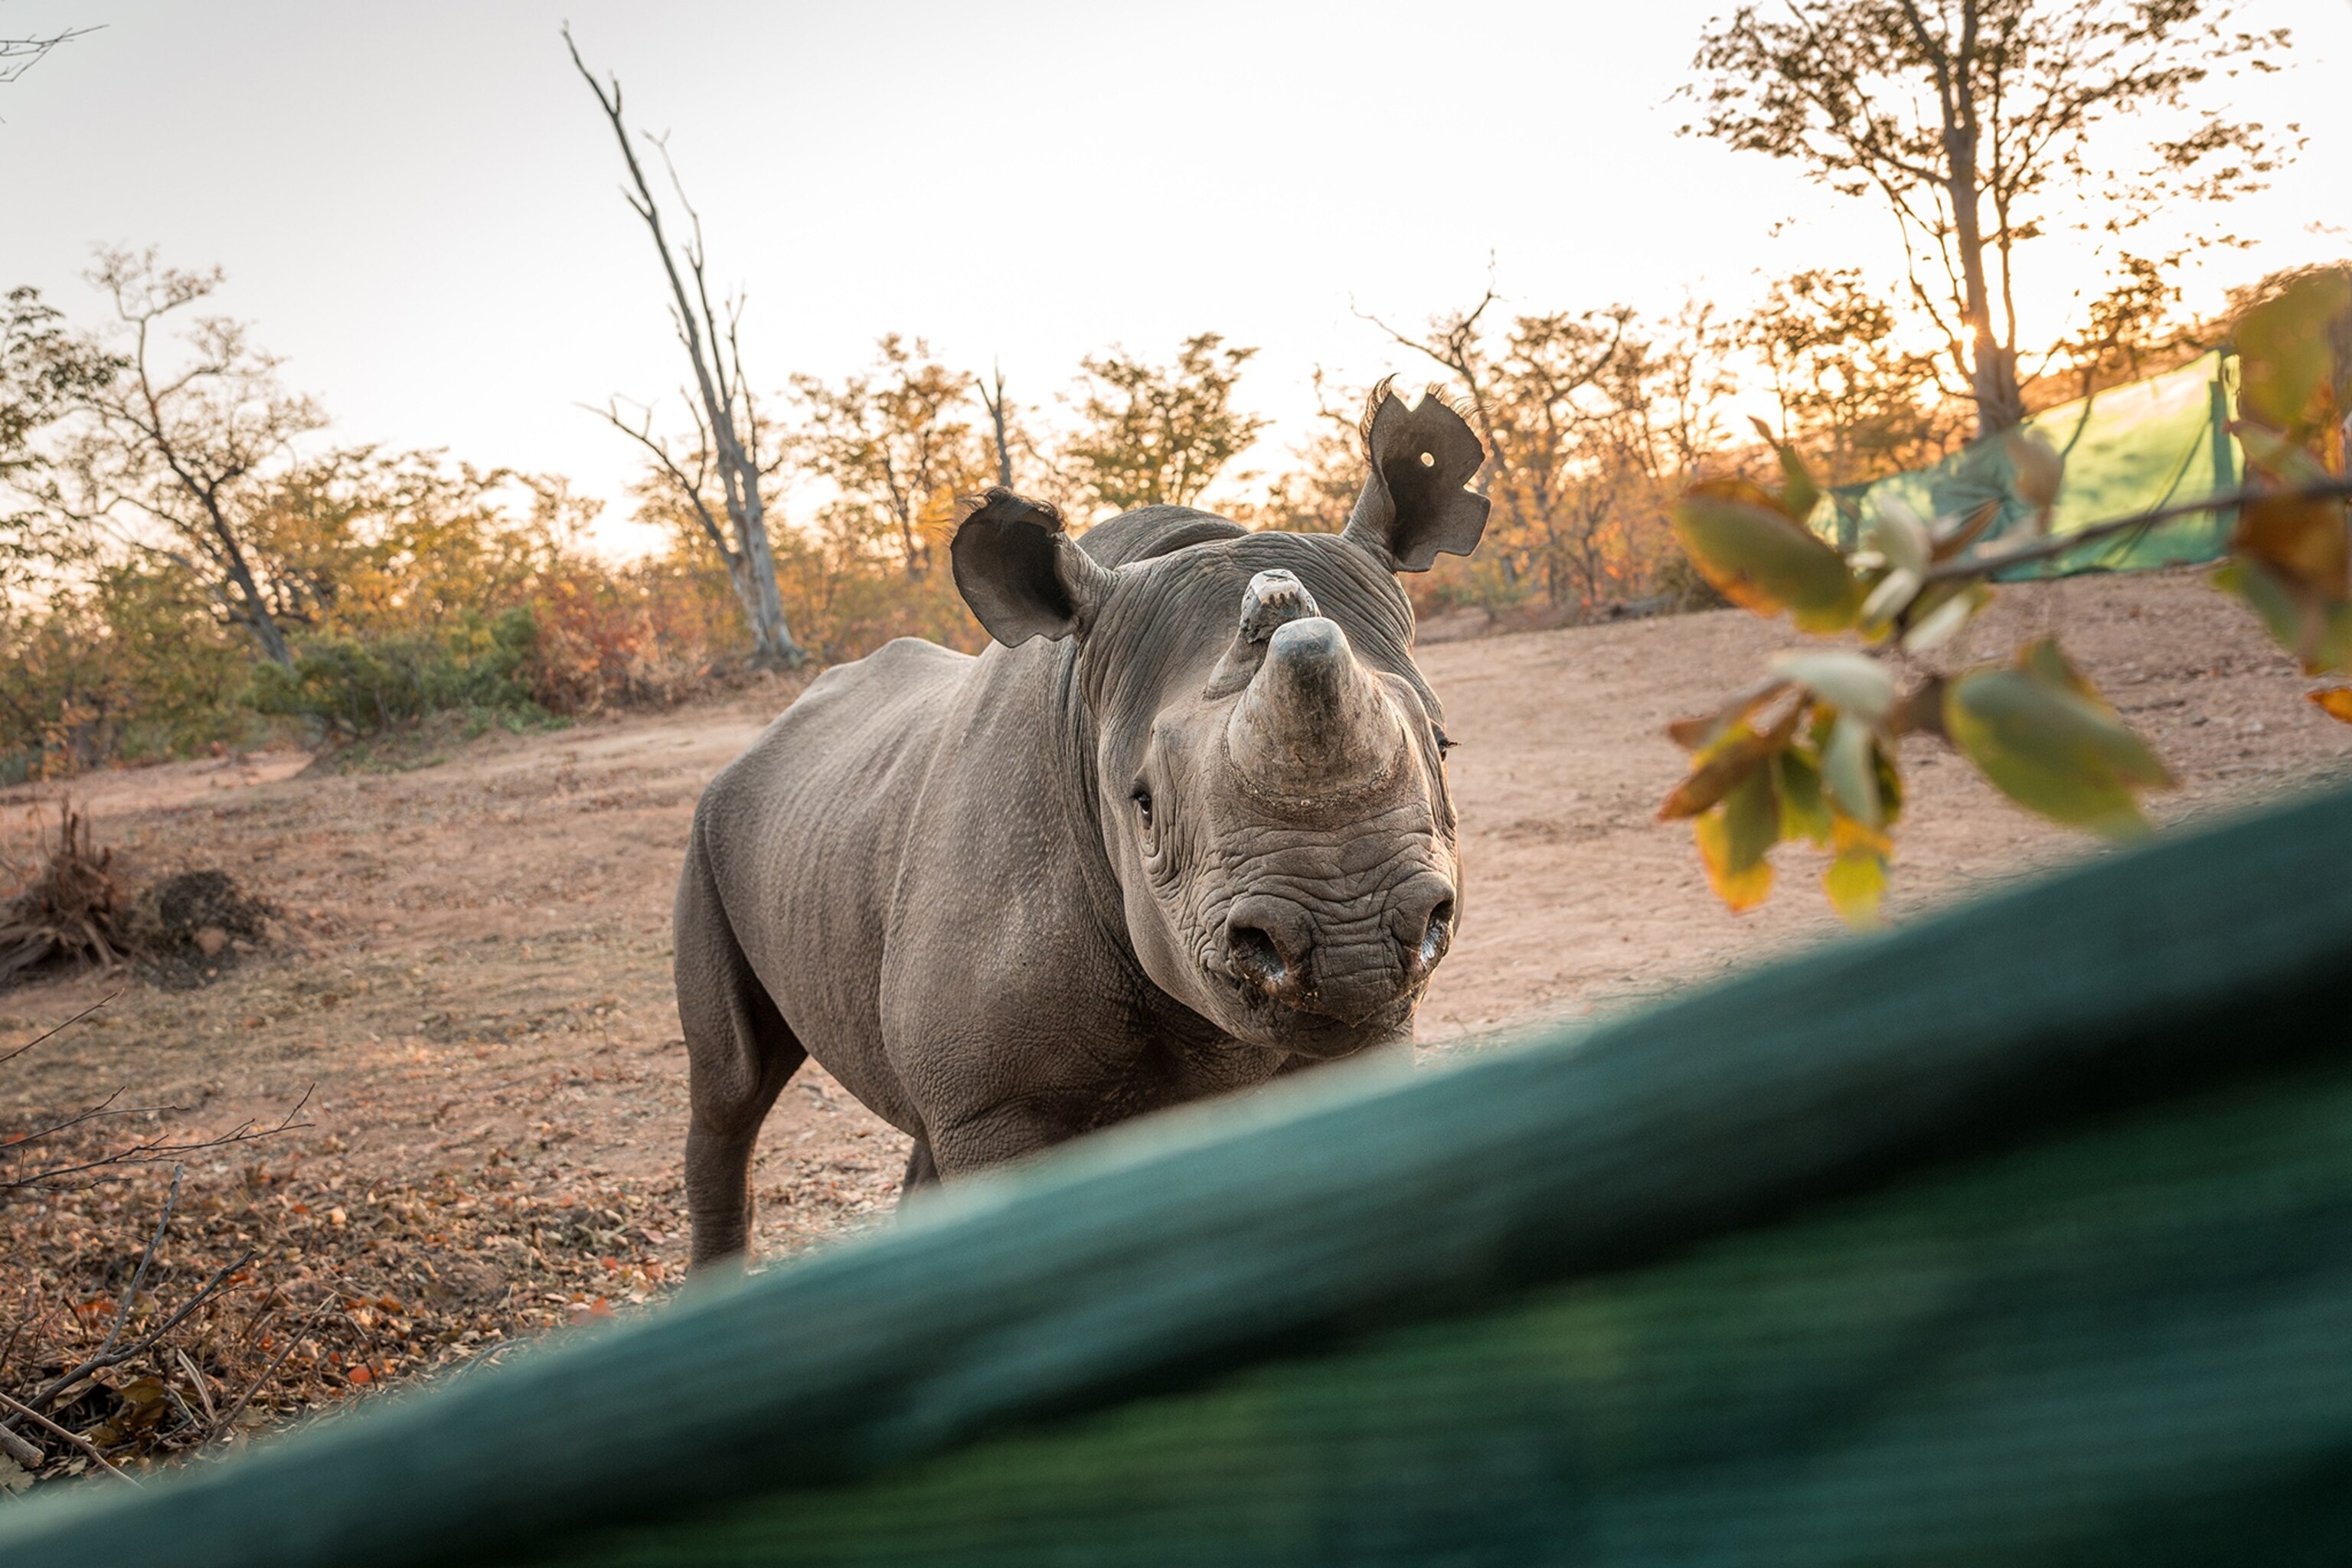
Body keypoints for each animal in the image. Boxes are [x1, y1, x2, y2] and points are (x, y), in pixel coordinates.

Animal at [676, 389, 1488, 1265]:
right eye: (1143, 804)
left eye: (1444, 747)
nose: (1354, 940)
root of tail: (765, 735)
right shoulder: (999, 1103)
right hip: (708, 830)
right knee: (730, 1090)